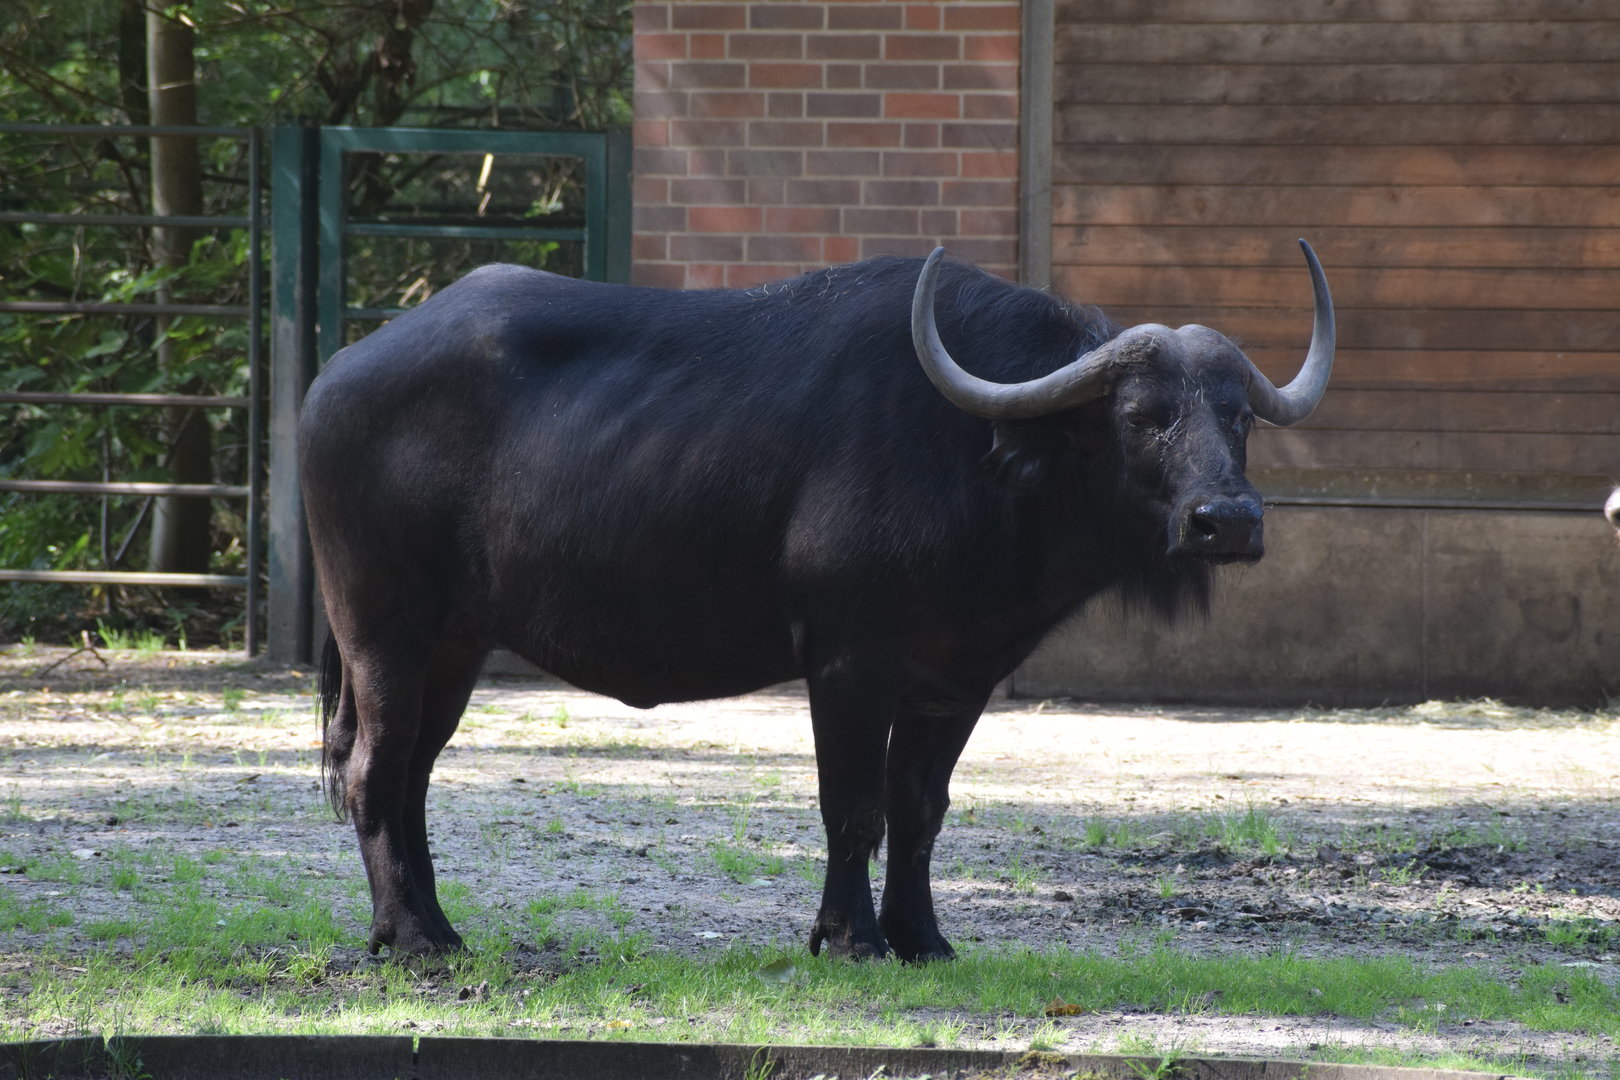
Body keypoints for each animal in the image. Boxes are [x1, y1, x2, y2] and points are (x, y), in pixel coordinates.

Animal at [299, 242, 1334, 961]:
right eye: (1143, 415)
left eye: (1235, 415)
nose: (1227, 521)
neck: (979, 453)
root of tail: (334, 377)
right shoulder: (848, 659)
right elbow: (855, 805)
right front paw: (851, 938)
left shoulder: (955, 678)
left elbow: (920, 807)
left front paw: (923, 937)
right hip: (383, 630)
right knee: (374, 771)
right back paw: (410, 938)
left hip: (456, 645)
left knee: (412, 776)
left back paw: (435, 925)